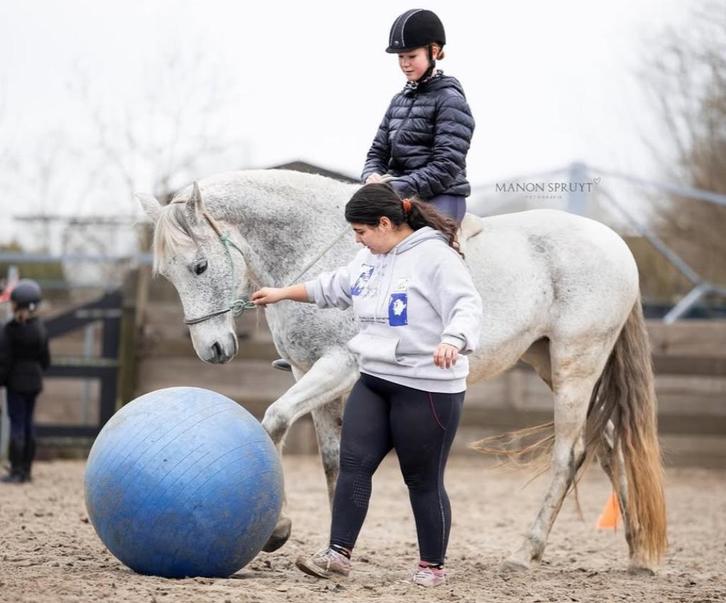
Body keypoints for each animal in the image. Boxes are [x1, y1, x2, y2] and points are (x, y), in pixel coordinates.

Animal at [138, 169, 667, 573]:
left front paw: (278, 530)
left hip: (577, 363)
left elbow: (275, 421)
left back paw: (525, 552)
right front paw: (332, 547)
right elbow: (334, 460)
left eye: (201, 266)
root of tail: (616, 244)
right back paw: (639, 555)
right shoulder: (310, 374)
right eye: (168, 275)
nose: (212, 350)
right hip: (548, 363)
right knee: (611, 447)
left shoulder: (338, 366)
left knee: (570, 452)